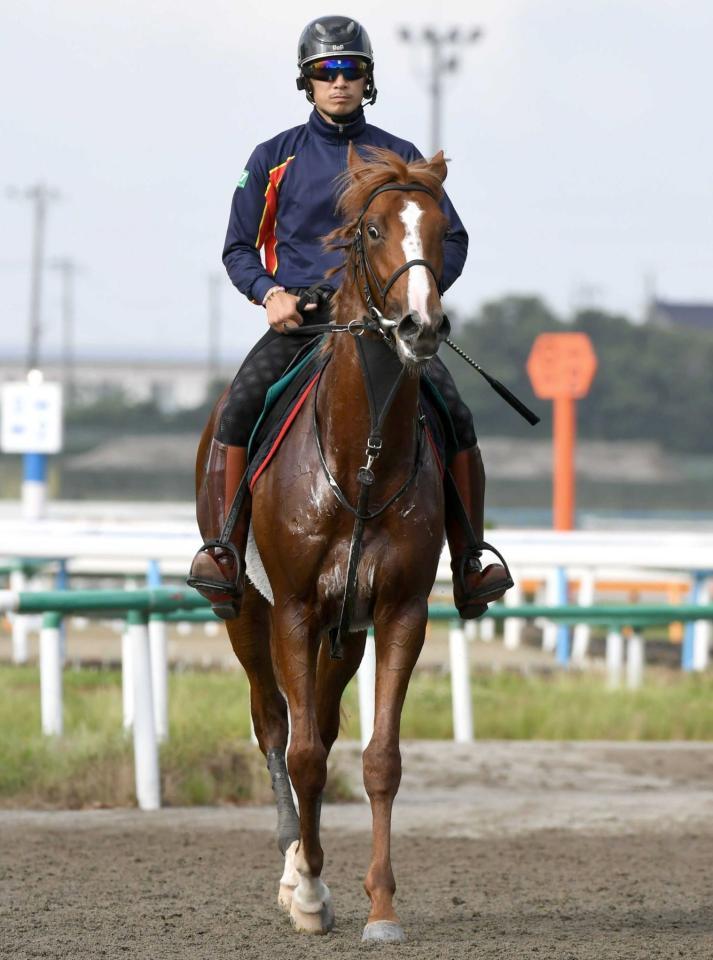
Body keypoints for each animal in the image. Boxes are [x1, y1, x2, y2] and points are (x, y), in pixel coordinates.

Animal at [195, 146, 450, 940]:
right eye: (371, 230)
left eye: (442, 230)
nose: (419, 325)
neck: (359, 461)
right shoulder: (295, 608)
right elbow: (303, 753)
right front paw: (307, 890)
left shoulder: (397, 612)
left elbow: (380, 759)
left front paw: (382, 907)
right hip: (246, 613)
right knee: (275, 726)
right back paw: (293, 866)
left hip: (346, 636)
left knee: (329, 725)